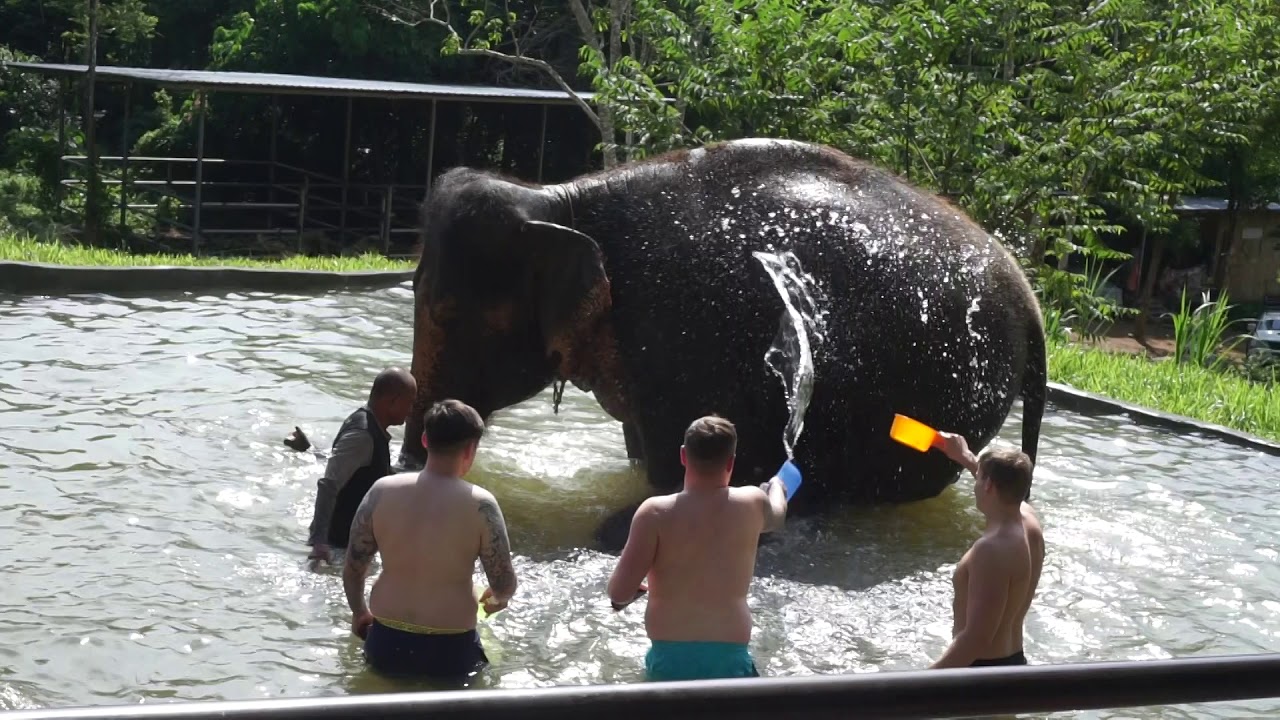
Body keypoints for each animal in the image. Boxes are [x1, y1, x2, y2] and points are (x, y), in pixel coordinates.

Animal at [398, 138, 1046, 523]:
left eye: (447, 314)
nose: (406, 467)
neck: (557, 199)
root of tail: (1031, 299)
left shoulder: (674, 340)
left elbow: (672, 464)